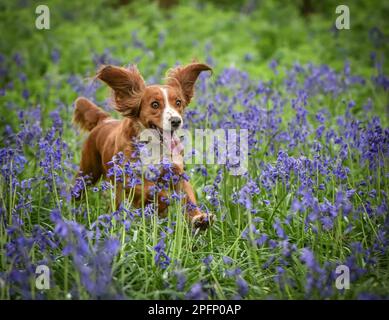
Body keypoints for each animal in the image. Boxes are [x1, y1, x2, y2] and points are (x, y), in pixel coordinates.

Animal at [73, 61, 212, 229]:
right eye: (155, 104)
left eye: (178, 102)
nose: (176, 121)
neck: (153, 146)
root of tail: (104, 120)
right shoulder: (128, 178)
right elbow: (150, 189)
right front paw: (162, 201)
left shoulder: (176, 172)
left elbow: (188, 197)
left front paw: (199, 218)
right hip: (88, 172)